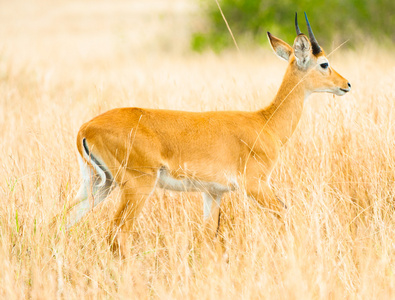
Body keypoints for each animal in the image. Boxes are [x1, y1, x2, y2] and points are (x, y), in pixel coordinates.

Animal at [57, 13, 352, 253]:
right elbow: (286, 215)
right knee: (117, 234)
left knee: (60, 221)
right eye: (324, 63)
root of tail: (86, 128)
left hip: (98, 184)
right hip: (136, 187)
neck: (265, 122)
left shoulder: (213, 193)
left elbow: (209, 237)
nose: (346, 84)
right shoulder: (256, 185)